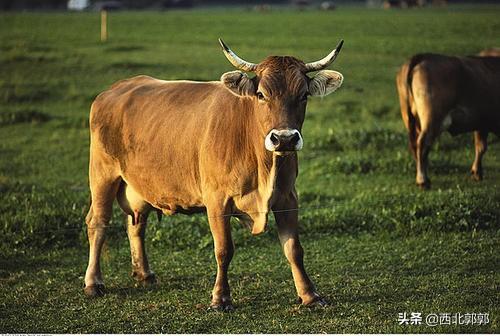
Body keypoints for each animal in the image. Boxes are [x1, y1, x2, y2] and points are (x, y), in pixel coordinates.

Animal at [85, 38, 344, 308]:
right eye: (261, 94)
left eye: (303, 95)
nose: (284, 139)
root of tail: (116, 89)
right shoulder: (217, 200)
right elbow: (224, 249)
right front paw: (221, 297)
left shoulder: (288, 197)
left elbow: (294, 249)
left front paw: (309, 294)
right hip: (102, 175)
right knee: (97, 222)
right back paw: (93, 282)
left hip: (139, 184)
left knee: (136, 224)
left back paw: (144, 273)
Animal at [398, 52, 500, 189]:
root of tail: (423, 56)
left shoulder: (482, 124)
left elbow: (480, 147)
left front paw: (477, 173)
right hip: (432, 119)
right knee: (422, 144)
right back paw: (423, 180)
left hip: (411, 119)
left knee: (415, 146)